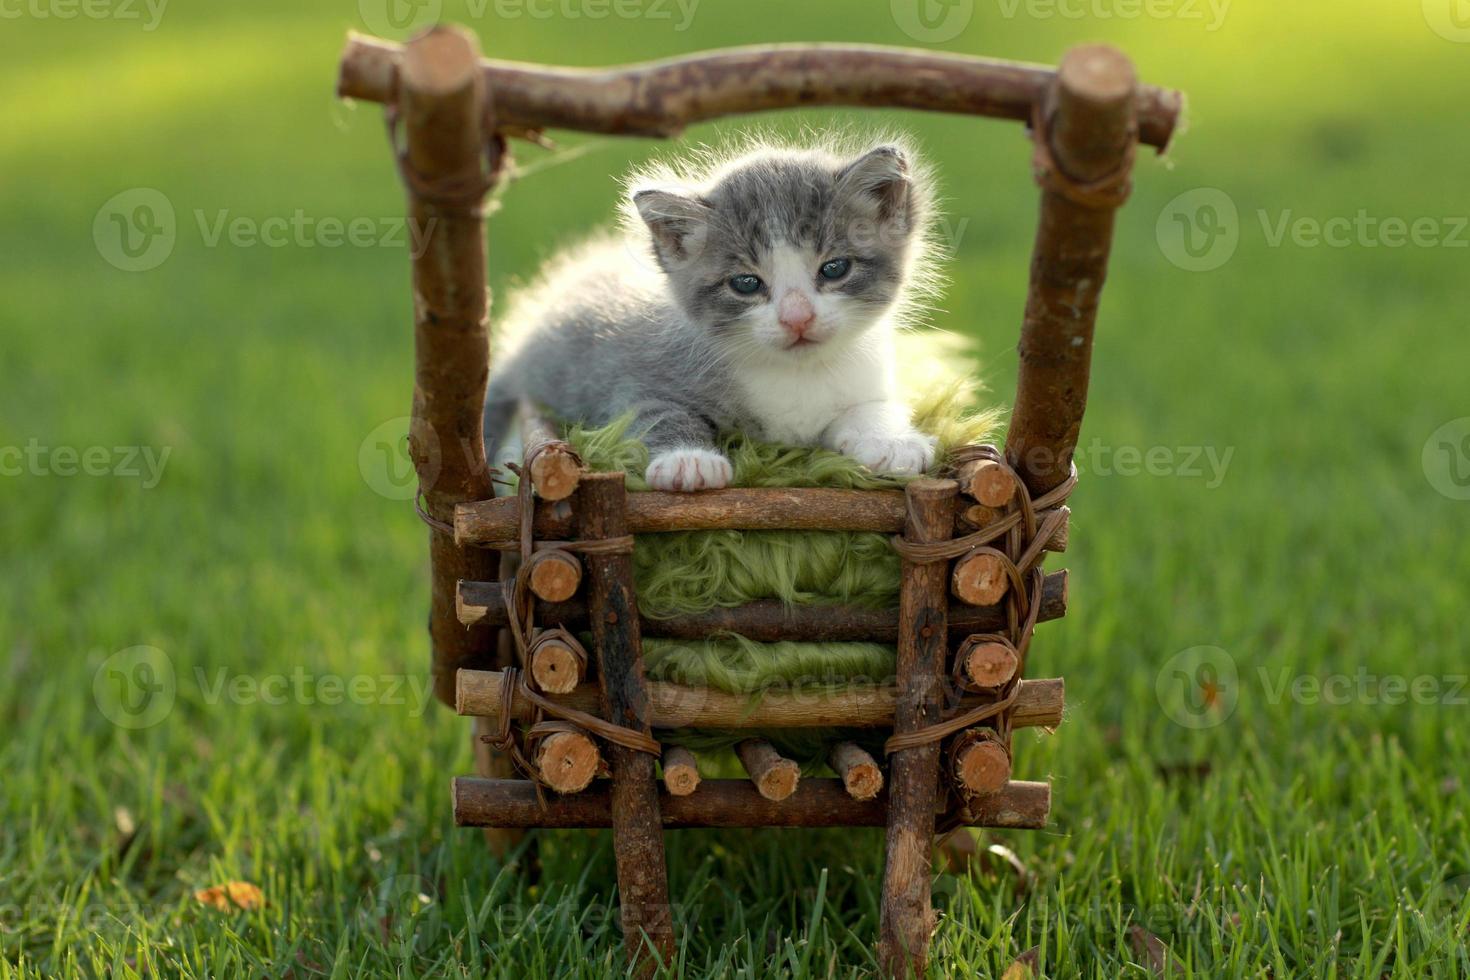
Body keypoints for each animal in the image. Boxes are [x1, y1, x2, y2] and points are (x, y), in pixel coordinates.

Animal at [488, 138, 934, 490]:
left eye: (835, 268)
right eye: (746, 283)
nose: (797, 317)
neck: (795, 374)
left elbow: (875, 406)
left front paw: (891, 441)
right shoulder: (631, 378)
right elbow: (654, 411)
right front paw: (688, 459)